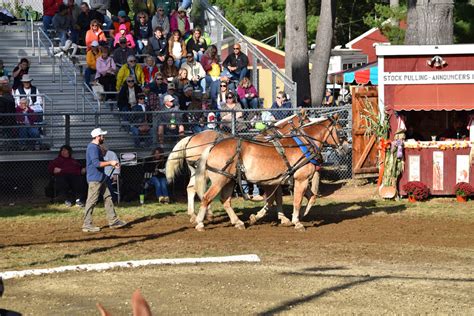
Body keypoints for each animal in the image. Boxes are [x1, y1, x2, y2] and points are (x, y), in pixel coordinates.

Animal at [165, 112, 312, 223]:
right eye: (307, 120)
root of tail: (191, 137)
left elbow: (277, 198)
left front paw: (282, 217)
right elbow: (276, 197)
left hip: (197, 172)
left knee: (191, 188)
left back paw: (194, 215)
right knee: (201, 191)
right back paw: (206, 214)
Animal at [193, 115, 348, 232]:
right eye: (341, 132)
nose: (346, 148)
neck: (305, 143)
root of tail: (213, 147)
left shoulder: (283, 181)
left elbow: (311, 197)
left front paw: (298, 215)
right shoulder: (301, 179)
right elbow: (296, 200)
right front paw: (296, 221)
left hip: (229, 180)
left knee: (225, 200)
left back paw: (238, 222)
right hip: (220, 180)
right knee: (206, 198)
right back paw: (200, 223)